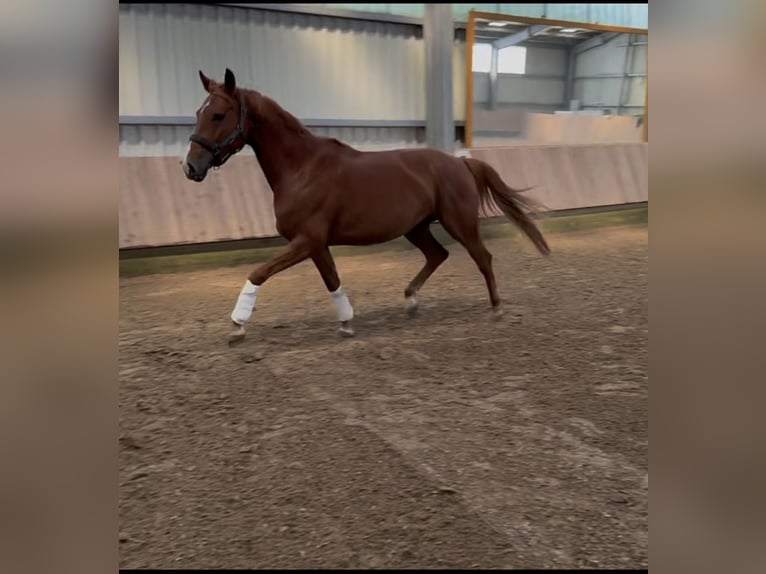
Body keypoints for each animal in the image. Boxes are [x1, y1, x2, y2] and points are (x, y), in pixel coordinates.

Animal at [182, 69, 550, 346]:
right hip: (416, 228)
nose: (190, 168)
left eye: (218, 114)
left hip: (459, 222)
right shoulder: (316, 244)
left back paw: (496, 308)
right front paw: (346, 323)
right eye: (198, 113)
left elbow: (259, 272)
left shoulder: (306, 241)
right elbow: (332, 280)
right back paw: (411, 301)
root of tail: (460, 161)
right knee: (438, 255)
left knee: (482, 257)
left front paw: (236, 326)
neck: (302, 169)